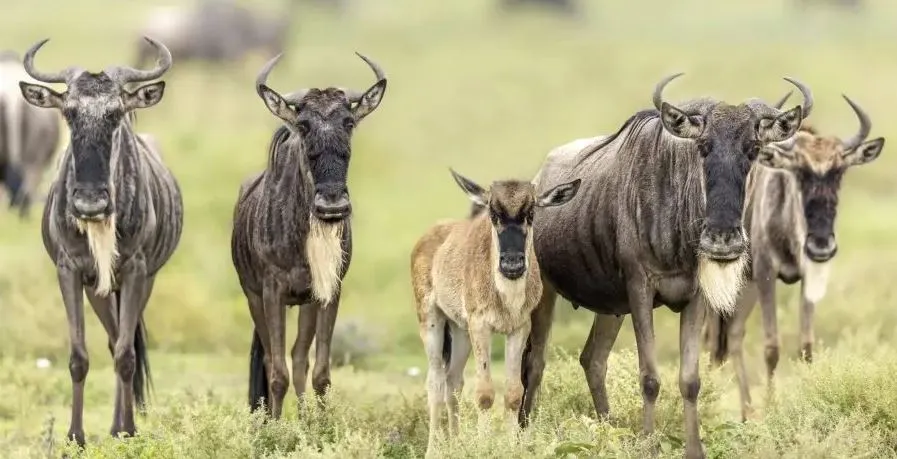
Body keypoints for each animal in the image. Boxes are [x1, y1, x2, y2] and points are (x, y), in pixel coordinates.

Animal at [412, 170, 580, 456]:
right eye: (493, 213)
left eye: (531, 213)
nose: (512, 264)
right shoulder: (481, 327)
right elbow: (484, 394)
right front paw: (482, 446)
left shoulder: (518, 329)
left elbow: (513, 393)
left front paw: (512, 447)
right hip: (431, 322)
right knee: (435, 383)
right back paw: (433, 450)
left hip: (460, 331)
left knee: (453, 382)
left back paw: (456, 444)